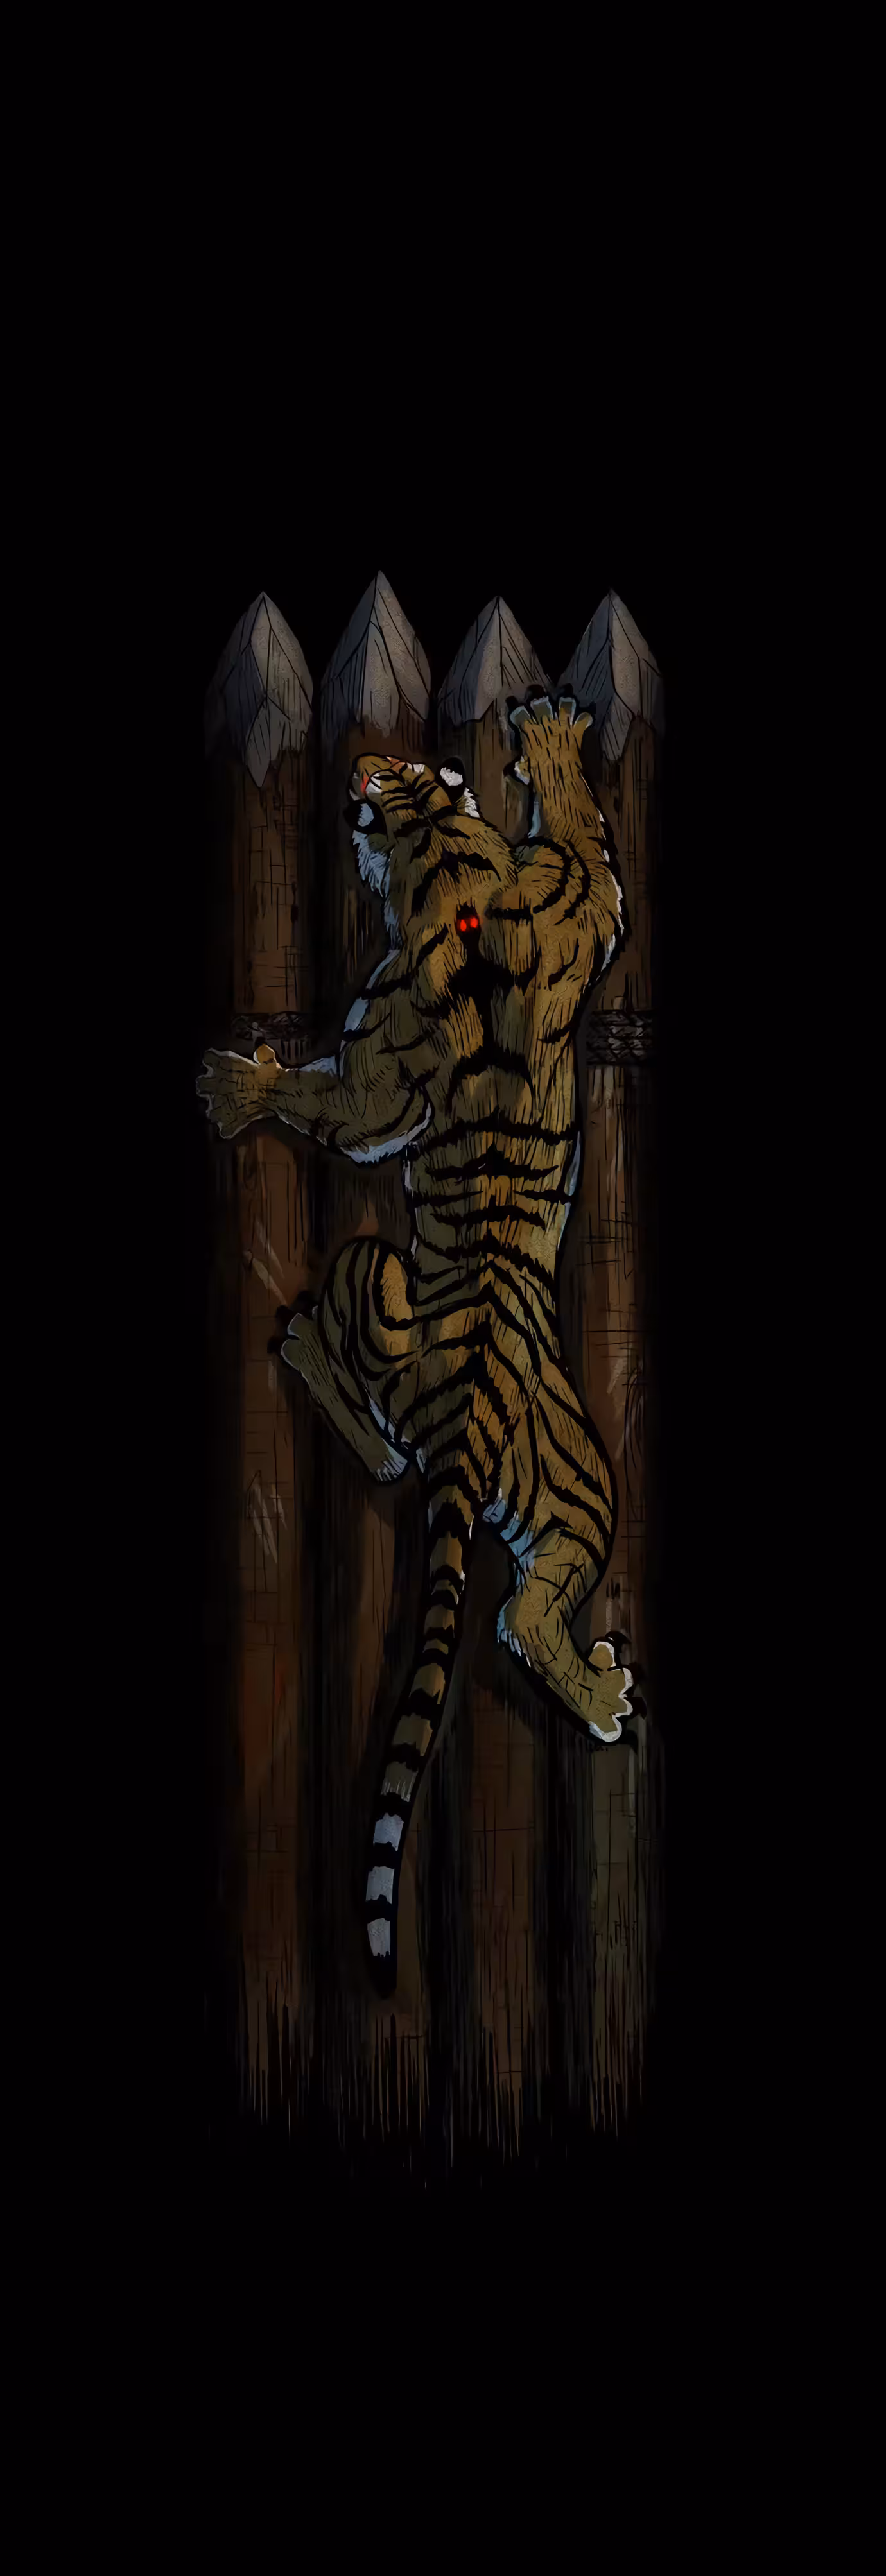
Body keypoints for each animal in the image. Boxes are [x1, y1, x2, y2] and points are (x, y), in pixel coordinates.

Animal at [197, 692, 634, 1999]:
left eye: (384, 777)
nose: (362, 772)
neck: (450, 852)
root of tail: (477, 1419)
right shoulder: (580, 913)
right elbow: (592, 849)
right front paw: (552, 743)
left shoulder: (385, 1067)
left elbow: (339, 1106)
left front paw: (240, 1088)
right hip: (582, 1493)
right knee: (522, 1617)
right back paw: (603, 1690)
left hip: (373, 1270)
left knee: (354, 1382)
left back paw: (307, 1356)